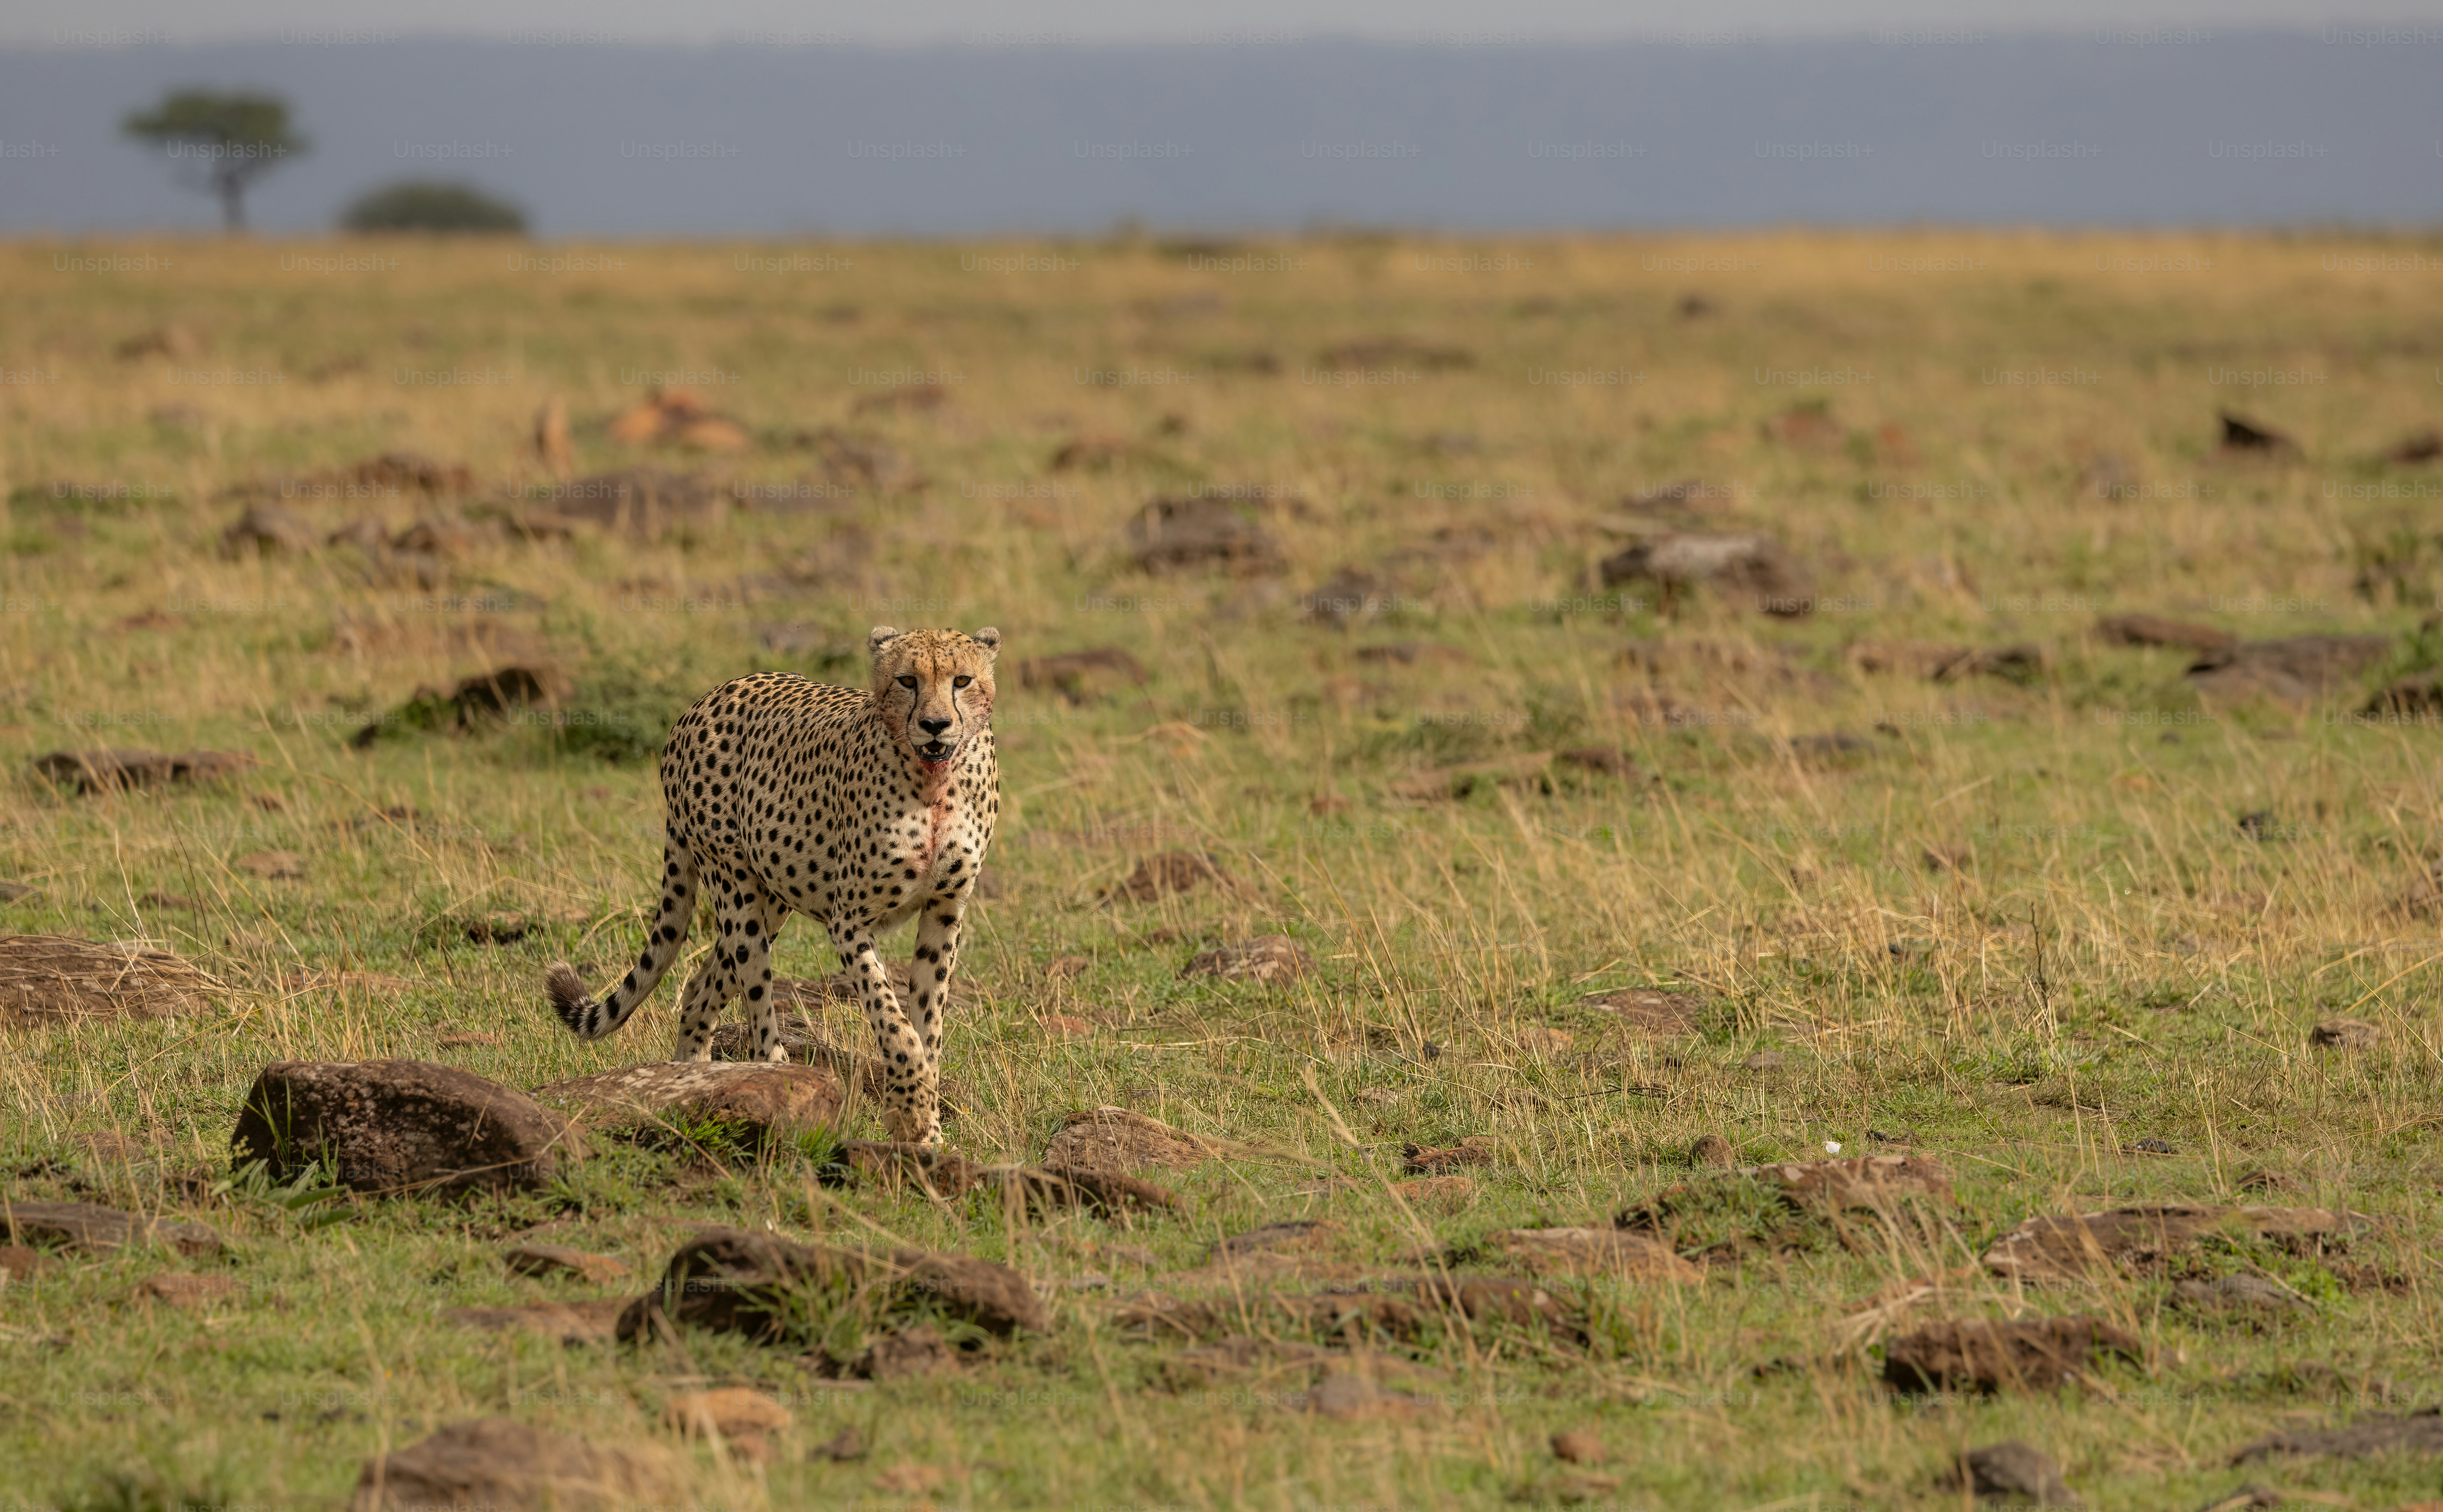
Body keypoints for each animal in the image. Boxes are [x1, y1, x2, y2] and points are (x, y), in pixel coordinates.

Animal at [544, 625, 1000, 1147]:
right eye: (907, 681)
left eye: (961, 680)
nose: (935, 724)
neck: (933, 783)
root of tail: (705, 699)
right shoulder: (849, 920)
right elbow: (893, 1019)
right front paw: (911, 1110)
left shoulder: (944, 911)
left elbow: (928, 1023)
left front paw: (926, 1129)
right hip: (734, 887)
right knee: (755, 996)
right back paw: (777, 1080)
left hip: (773, 899)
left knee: (698, 989)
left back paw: (690, 1083)